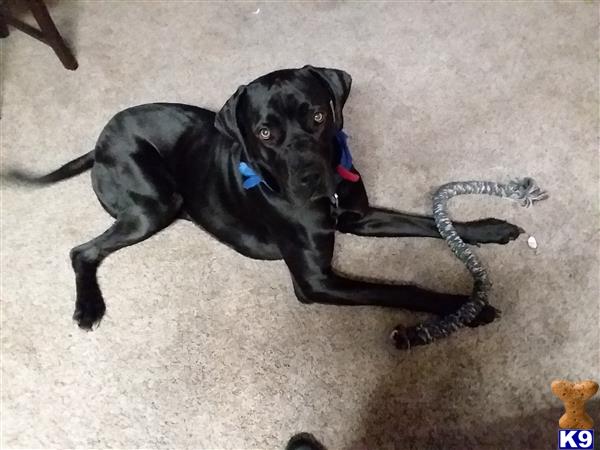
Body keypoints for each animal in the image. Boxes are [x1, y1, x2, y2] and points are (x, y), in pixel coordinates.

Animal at [10, 67, 524, 334]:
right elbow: (399, 289)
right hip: (154, 205)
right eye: (263, 133)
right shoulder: (316, 282)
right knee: (82, 250)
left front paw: (488, 228)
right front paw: (467, 310)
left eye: (317, 117)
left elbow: (426, 222)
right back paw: (88, 308)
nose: (310, 176)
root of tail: (98, 143)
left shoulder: (359, 217)